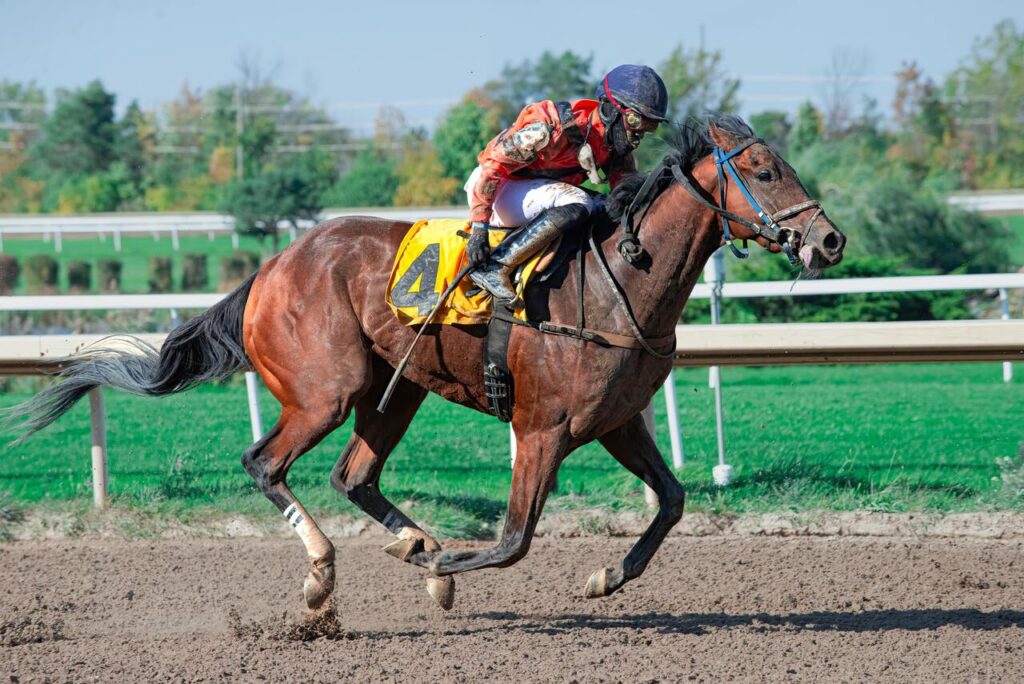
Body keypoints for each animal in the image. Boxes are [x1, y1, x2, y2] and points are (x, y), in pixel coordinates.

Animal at [7, 114, 845, 613]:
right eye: (763, 169)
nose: (829, 240)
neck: (619, 281)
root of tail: (273, 265)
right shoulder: (541, 429)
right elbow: (512, 540)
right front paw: (446, 572)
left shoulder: (615, 421)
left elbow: (671, 501)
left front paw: (604, 575)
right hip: (327, 389)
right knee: (265, 462)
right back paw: (325, 574)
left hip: (397, 386)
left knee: (353, 475)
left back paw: (412, 539)